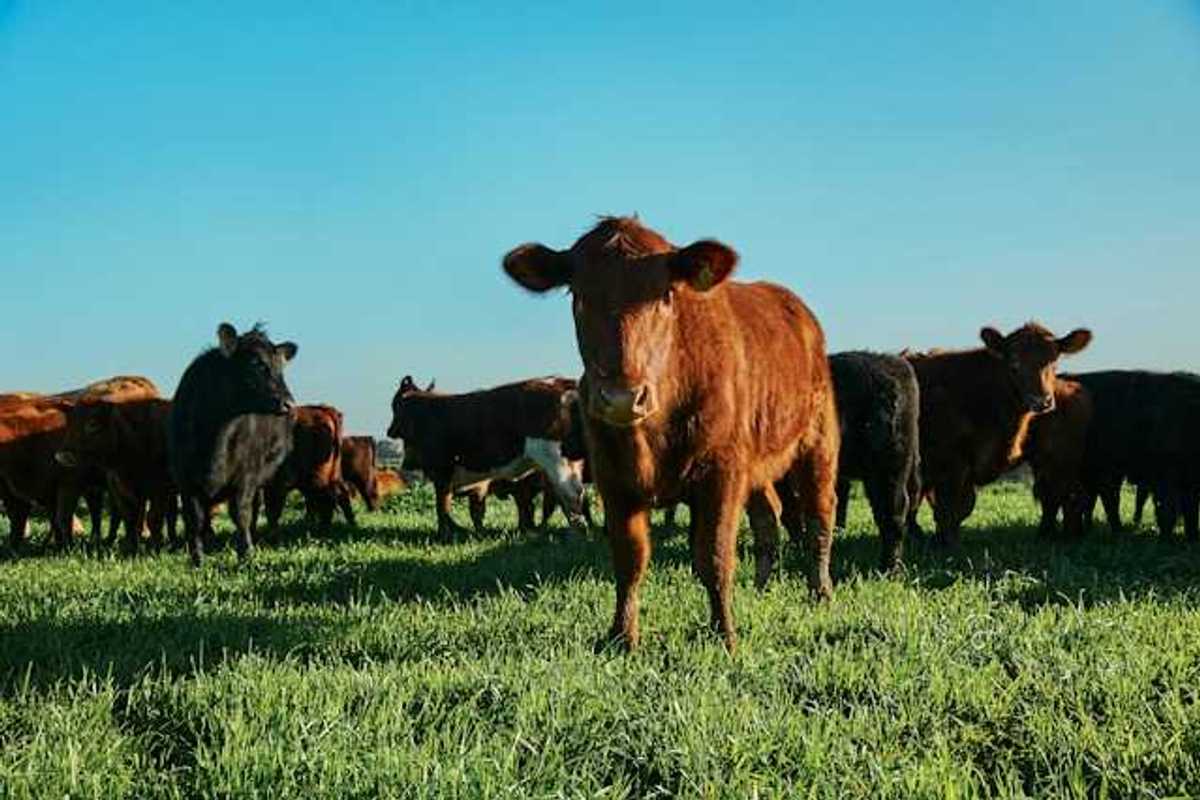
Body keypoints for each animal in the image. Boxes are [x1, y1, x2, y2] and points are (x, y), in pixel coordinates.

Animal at [55, 398, 178, 552]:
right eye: (69, 424)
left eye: (93, 423)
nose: (62, 455)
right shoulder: (120, 488)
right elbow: (130, 518)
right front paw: (131, 548)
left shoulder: (159, 488)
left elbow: (153, 518)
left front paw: (154, 549)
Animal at [168, 323, 298, 566]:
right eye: (256, 363)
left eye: (280, 368)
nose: (289, 404)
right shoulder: (185, 480)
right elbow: (195, 519)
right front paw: (198, 560)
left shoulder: (246, 475)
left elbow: (240, 514)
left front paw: (246, 555)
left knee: (264, 509)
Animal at [386, 376, 589, 540]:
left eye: (394, 405)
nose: (389, 431)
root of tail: (560, 382)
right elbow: (470, 509)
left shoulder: (442, 471)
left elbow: (442, 507)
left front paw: (444, 535)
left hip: (556, 460)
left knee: (571, 494)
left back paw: (575, 534)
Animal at [503, 215, 839, 652]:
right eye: (578, 295)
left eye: (665, 294)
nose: (622, 397)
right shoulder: (613, 477)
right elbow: (630, 559)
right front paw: (622, 635)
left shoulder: (721, 471)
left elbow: (714, 555)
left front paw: (725, 635)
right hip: (756, 463)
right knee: (768, 515)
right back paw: (763, 586)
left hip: (818, 440)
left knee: (819, 515)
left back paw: (821, 591)